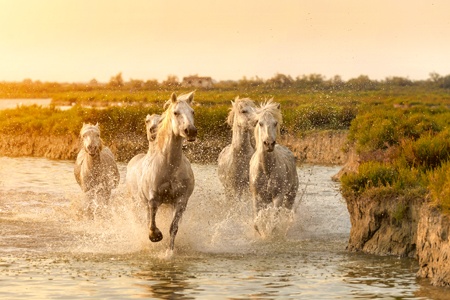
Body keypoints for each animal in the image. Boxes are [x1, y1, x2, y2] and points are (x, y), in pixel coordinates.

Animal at [126, 91, 197, 251]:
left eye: (192, 112)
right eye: (176, 112)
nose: (191, 131)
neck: (170, 166)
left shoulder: (180, 201)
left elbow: (173, 228)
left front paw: (170, 250)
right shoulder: (153, 198)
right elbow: (151, 222)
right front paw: (155, 236)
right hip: (137, 202)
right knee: (145, 219)